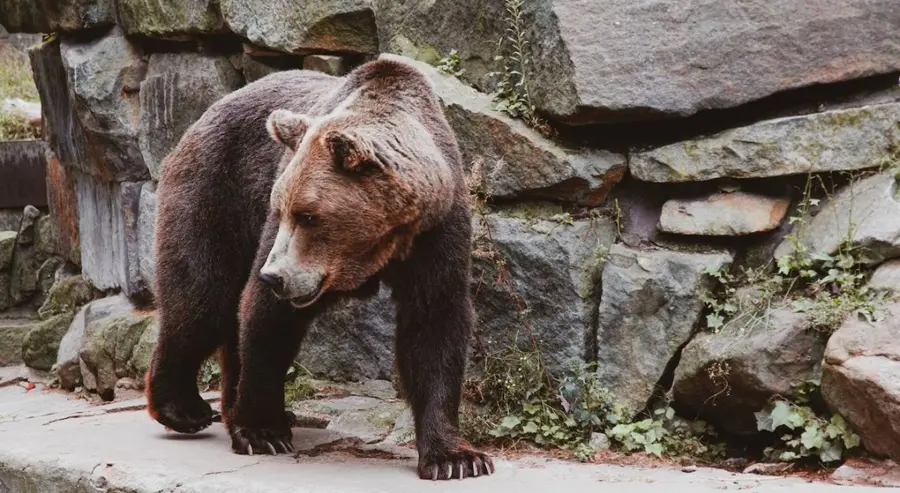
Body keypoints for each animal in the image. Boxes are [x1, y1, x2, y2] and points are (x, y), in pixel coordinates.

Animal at [142, 55, 492, 478]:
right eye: (282, 209)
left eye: (309, 215)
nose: (274, 277)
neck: (380, 245)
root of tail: (204, 114)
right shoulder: (275, 230)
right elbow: (265, 318)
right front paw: (262, 431)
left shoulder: (437, 233)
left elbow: (435, 325)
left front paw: (455, 457)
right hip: (215, 188)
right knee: (203, 298)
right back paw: (185, 409)